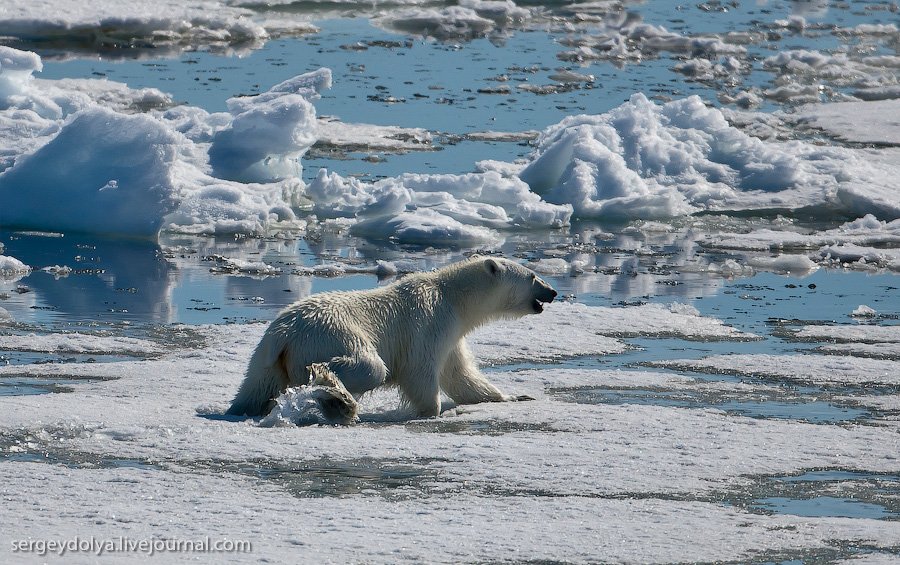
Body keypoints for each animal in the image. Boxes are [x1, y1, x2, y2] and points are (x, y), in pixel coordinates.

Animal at [227, 256, 556, 418]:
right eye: (532, 276)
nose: (552, 292)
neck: (453, 297)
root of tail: (284, 333)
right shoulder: (430, 322)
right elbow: (420, 371)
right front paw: (430, 411)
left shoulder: (451, 335)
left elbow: (461, 376)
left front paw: (515, 395)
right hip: (332, 334)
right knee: (369, 366)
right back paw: (338, 398)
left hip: (266, 358)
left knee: (255, 387)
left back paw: (242, 409)